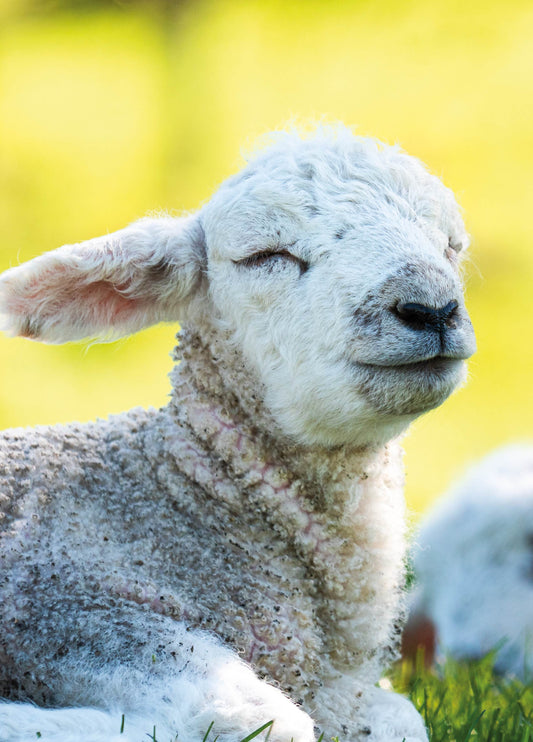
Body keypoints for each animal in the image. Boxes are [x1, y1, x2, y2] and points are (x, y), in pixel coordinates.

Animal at [0, 125, 476, 742]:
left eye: (450, 245)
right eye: (264, 256)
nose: (431, 308)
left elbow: (401, 718)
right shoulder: (55, 609)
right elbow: (270, 719)